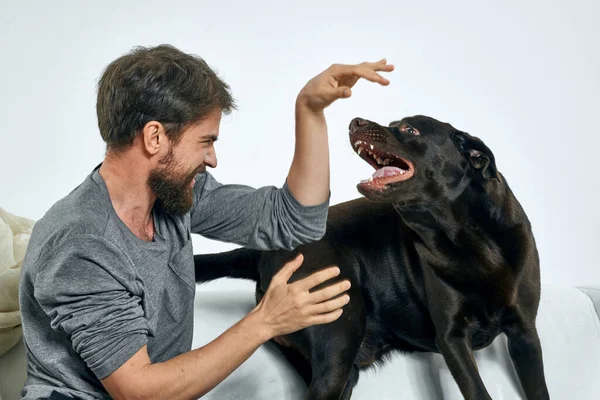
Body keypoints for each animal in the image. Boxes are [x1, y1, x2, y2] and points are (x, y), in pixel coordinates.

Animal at [195, 114, 552, 398]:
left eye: (409, 128)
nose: (355, 122)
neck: (467, 241)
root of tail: (267, 252)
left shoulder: (525, 334)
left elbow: (539, 390)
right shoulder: (452, 339)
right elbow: (478, 391)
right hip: (338, 339)